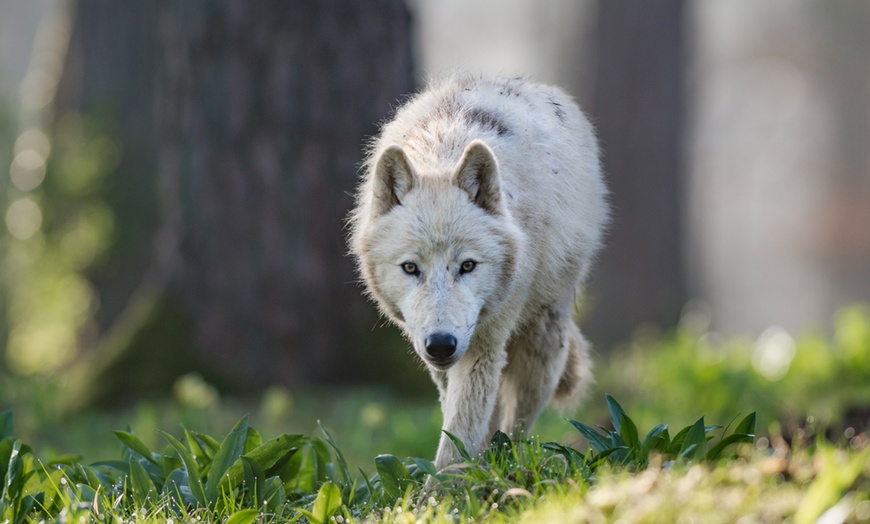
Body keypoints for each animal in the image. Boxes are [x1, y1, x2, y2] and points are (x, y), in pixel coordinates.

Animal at [348, 72, 608, 466]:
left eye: (468, 266)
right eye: (410, 267)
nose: (441, 345)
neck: (443, 154)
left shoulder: (484, 343)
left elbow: (460, 432)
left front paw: (448, 482)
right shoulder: (440, 350)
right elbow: (457, 419)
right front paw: (463, 473)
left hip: (543, 338)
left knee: (516, 424)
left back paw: (507, 463)